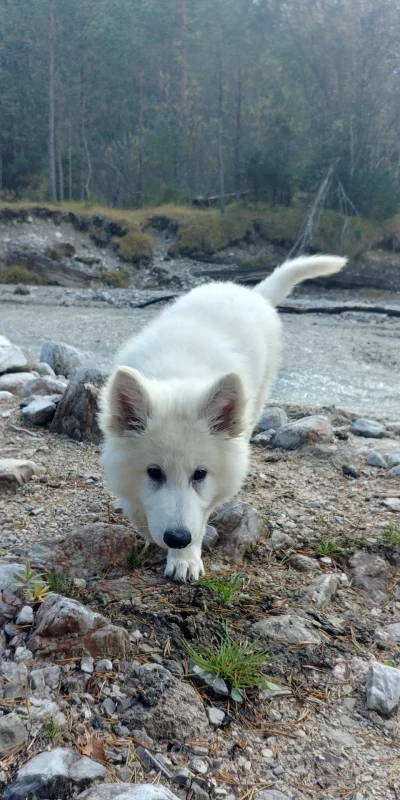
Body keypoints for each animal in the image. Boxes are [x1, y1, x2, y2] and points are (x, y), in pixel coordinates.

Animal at [98, 256, 346, 580]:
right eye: (154, 472)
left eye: (200, 474)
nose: (177, 539)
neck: (179, 373)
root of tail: (251, 292)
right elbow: (136, 504)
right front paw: (150, 529)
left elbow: (200, 515)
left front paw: (184, 558)